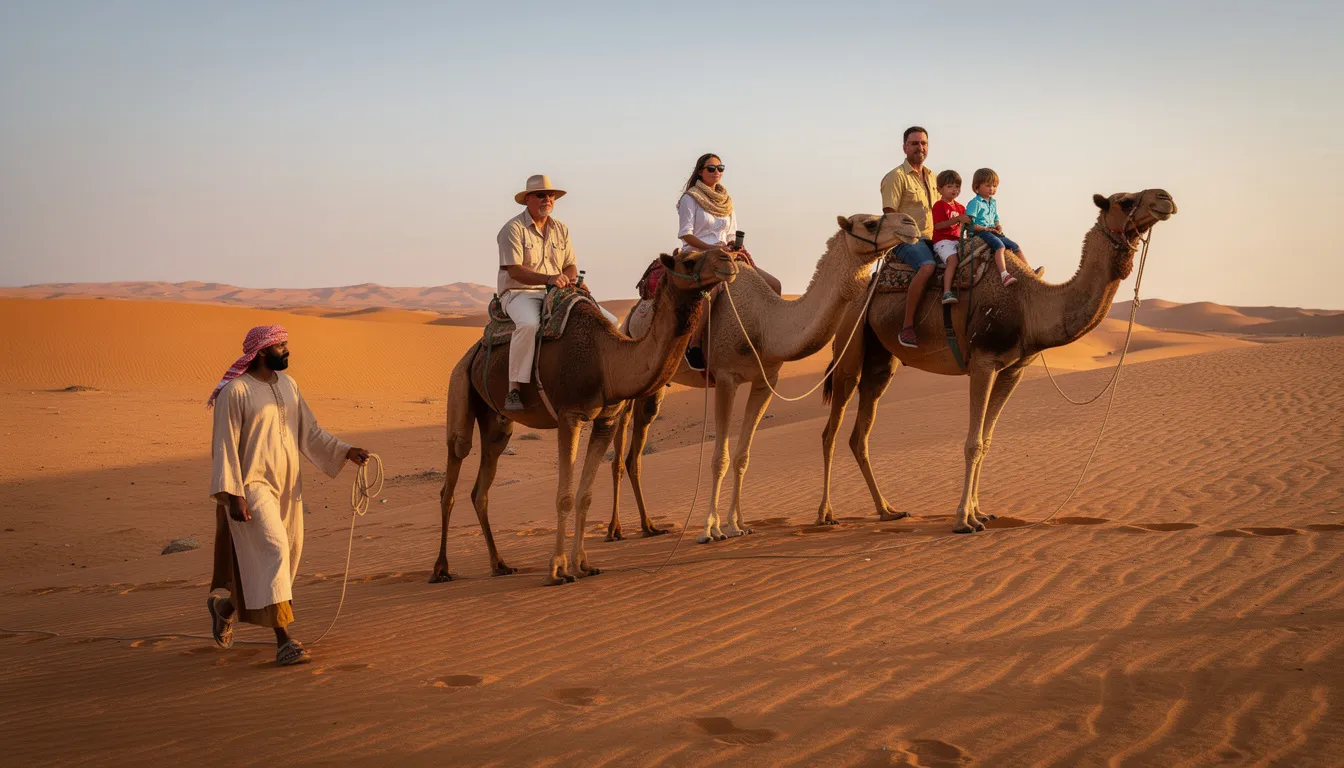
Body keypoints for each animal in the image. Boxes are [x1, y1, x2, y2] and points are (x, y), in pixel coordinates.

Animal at [430, 248, 740, 586]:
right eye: (689, 260)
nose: (728, 259)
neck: (606, 361)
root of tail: (471, 352)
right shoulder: (571, 415)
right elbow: (564, 495)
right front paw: (557, 569)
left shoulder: (606, 420)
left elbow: (585, 495)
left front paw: (583, 564)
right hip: (459, 385)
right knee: (453, 470)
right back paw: (441, 569)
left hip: (497, 421)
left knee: (481, 488)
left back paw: (500, 564)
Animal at [607, 212, 921, 543]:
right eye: (870, 223)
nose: (910, 223)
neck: (764, 325)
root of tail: (632, 314)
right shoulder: (726, 378)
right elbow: (720, 457)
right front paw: (710, 529)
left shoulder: (765, 381)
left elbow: (742, 455)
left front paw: (738, 524)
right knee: (620, 445)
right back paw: (616, 530)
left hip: (656, 387)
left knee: (634, 451)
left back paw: (649, 526)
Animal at [816, 189, 1177, 533]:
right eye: (1125, 200)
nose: (1166, 198)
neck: (1029, 304)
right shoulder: (983, 360)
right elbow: (973, 443)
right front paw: (964, 521)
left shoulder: (1012, 370)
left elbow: (987, 441)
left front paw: (980, 512)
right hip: (849, 340)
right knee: (831, 427)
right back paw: (826, 515)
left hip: (880, 358)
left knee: (860, 431)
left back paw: (888, 510)